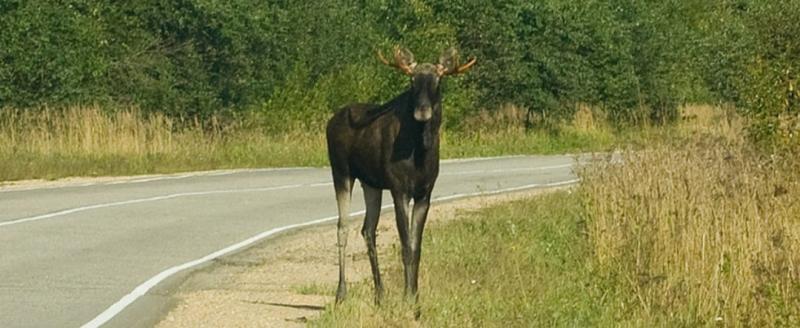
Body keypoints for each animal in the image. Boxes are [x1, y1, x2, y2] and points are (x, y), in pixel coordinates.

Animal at [324, 44, 476, 304]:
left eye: (438, 80)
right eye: (412, 81)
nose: (422, 111)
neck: (419, 153)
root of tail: (329, 123)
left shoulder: (425, 193)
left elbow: (416, 247)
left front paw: (415, 297)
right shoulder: (399, 189)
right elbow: (406, 246)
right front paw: (408, 298)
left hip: (371, 184)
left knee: (368, 230)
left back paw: (380, 293)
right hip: (341, 171)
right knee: (342, 227)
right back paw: (341, 293)